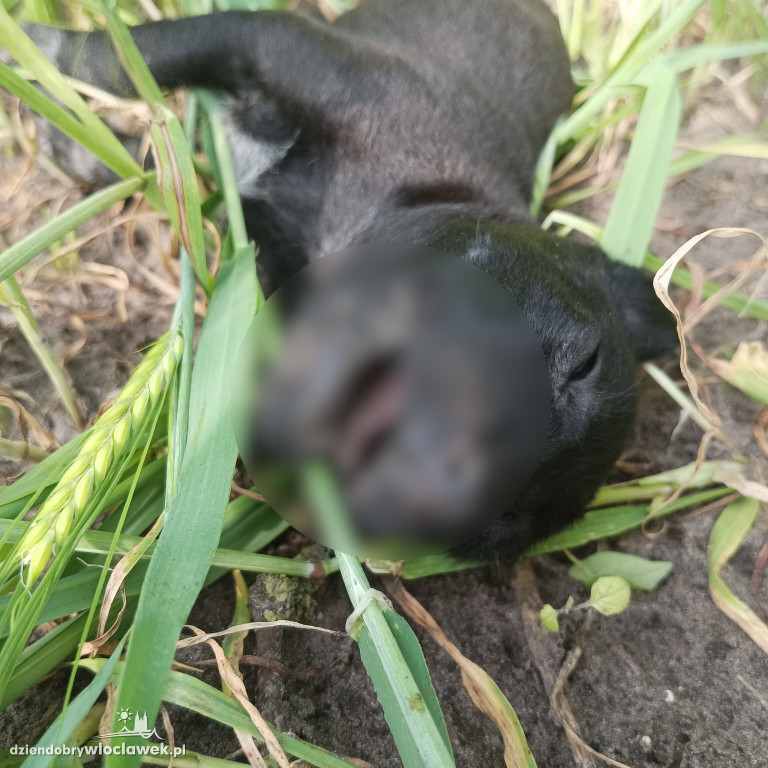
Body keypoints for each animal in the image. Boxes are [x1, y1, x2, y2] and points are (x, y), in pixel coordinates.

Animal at [9, 0, 676, 560]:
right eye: (582, 362)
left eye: (498, 528)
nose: (439, 488)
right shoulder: (279, 47)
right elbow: (123, 59)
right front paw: (37, 58)